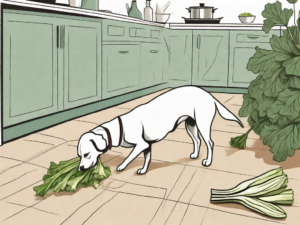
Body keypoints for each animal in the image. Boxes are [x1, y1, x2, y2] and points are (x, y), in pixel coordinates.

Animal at [77, 85, 244, 175]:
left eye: (86, 154)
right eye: (79, 155)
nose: (80, 168)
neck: (120, 128)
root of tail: (209, 95)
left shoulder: (141, 145)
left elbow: (129, 157)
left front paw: (122, 166)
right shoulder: (147, 146)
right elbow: (147, 159)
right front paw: (143, 170)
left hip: (203, 124)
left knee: (210, 143)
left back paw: (208, 161)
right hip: (190, 124)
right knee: (197, 141)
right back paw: (195, 155)